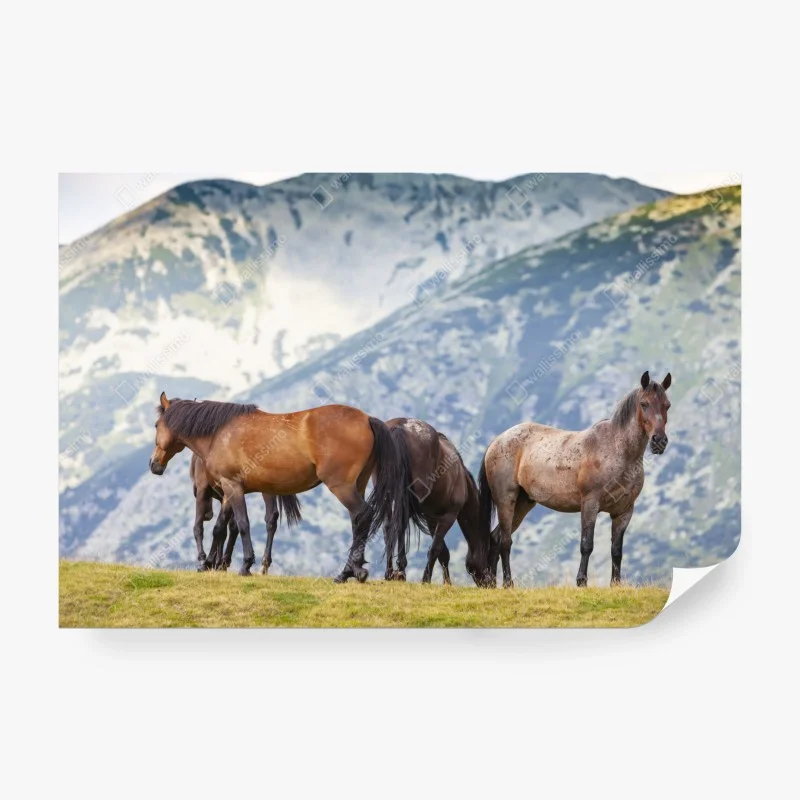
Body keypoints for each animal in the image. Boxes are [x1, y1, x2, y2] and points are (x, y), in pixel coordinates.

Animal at [151, 394, 412, 581]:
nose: (154, 464)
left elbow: (242, 524)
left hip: (342, 487)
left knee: (362, 514)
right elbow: (221, 527)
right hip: (358, 483)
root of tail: (367, 419)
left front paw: (245, 564)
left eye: (155, 425)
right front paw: (213, 564)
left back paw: (346, 572)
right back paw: (354, 570)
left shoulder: (232, 486)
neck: (220, 433)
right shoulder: (227, 492)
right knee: (359, 521)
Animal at [382, 418, 491, 587]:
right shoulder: (449, 516)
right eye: (490, 553)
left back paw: (389, 572)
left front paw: (447, 582)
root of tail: (400, 425)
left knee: (388, 527)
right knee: (399, 525)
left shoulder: (432, 518)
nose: (491, 583)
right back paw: (400, 571)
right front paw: (426, 580)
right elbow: (435, 549)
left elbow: (442, 552)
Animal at [478, 371, 672, 588]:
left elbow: (616, 550)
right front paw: (581, 582)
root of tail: (497, 441)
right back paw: (508, 583)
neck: (617, 451)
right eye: (644, 404)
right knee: (505, 541)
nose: (659, 441)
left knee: (495, 538)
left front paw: (615, 584)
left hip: (523, 504)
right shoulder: (590, 504)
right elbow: (586, 545)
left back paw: (491, 584)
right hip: (506, 501)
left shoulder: (623, 511)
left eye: (667, 405)